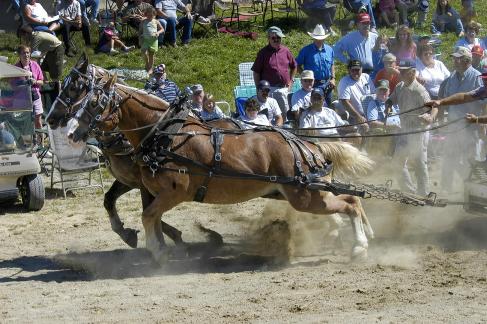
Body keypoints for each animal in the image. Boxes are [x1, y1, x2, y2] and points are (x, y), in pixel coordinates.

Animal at [70, 74, 378, 264]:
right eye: (79, 100)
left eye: (94, 102)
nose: (72, 132)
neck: (166, 134)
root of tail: (307, 145)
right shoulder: (152, 190)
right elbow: (151, 217)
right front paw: (161, 247)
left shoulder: (174, 193)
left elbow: (148, 216)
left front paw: (158, 252)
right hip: (297, 193)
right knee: (349, 201)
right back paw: (358, 236)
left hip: (304, 196)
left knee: (349, 204)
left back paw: (360, 247)